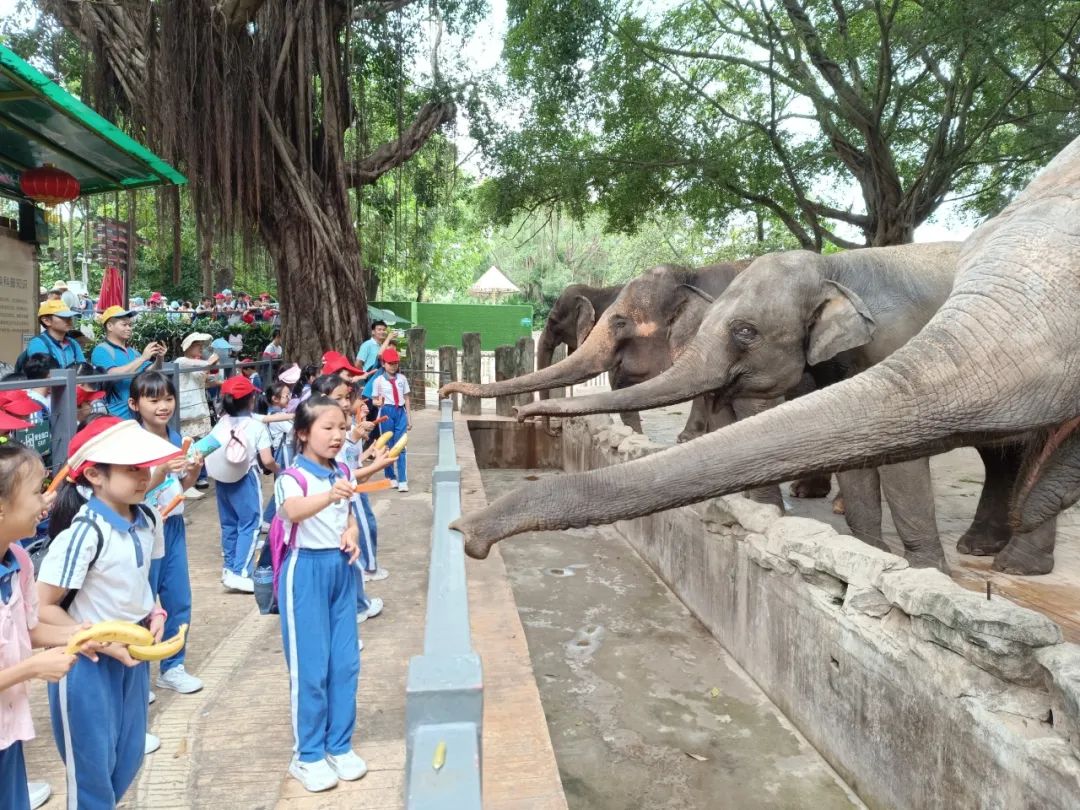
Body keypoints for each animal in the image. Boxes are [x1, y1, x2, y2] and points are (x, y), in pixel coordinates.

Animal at [451, 133, 1080, 574]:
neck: (836, 267)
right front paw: (859, 546)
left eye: (748, 330)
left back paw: (1006, 564)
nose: (526, 417)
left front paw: (916, 569)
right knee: (1003, 455)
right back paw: (976, 546)